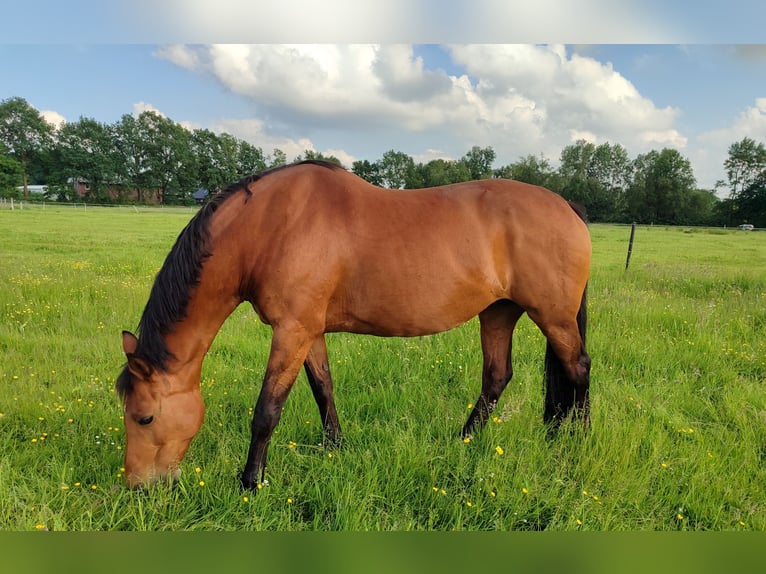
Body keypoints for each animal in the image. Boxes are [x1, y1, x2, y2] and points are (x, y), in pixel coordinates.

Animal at [115, 160, 592, 492]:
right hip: (499, 312)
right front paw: (335, 448)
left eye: (144, 417)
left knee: (578, 368)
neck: (271, 226)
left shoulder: (291, 330)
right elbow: (323, 387)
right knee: (497, 376)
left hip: (553, 318)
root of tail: (566, 205)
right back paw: (465, 440)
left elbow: (267, 409)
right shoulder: (309, 331)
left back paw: (574, 441)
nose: (139, 487)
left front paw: (250, 481)